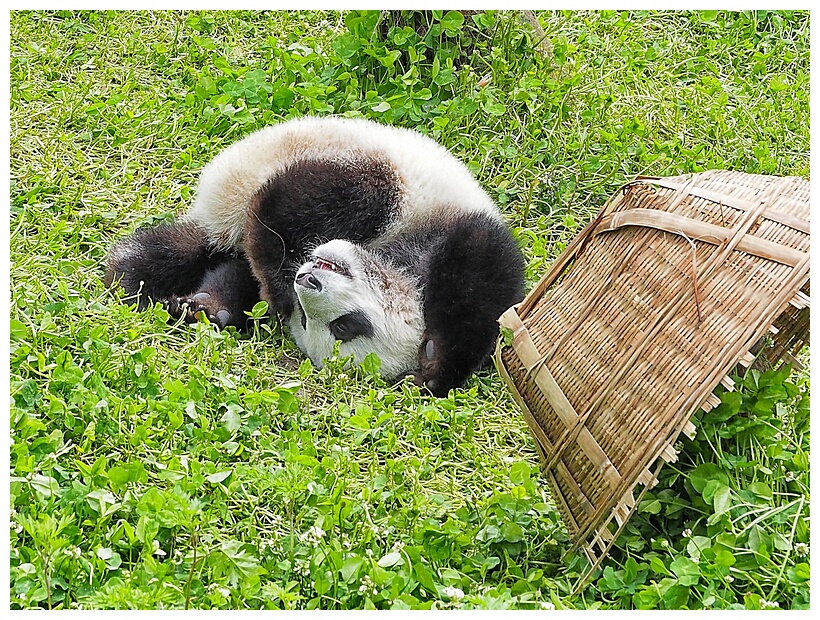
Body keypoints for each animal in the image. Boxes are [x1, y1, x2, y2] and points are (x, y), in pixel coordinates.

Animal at [105, 115, 524, 398]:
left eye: (342, 327)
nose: (306, 282)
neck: (392, 259)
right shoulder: (450, 224)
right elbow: (480, 277)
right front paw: (439, 363)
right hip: (353, 162)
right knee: (314, 200)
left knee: (201, 251)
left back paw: (147, 281)